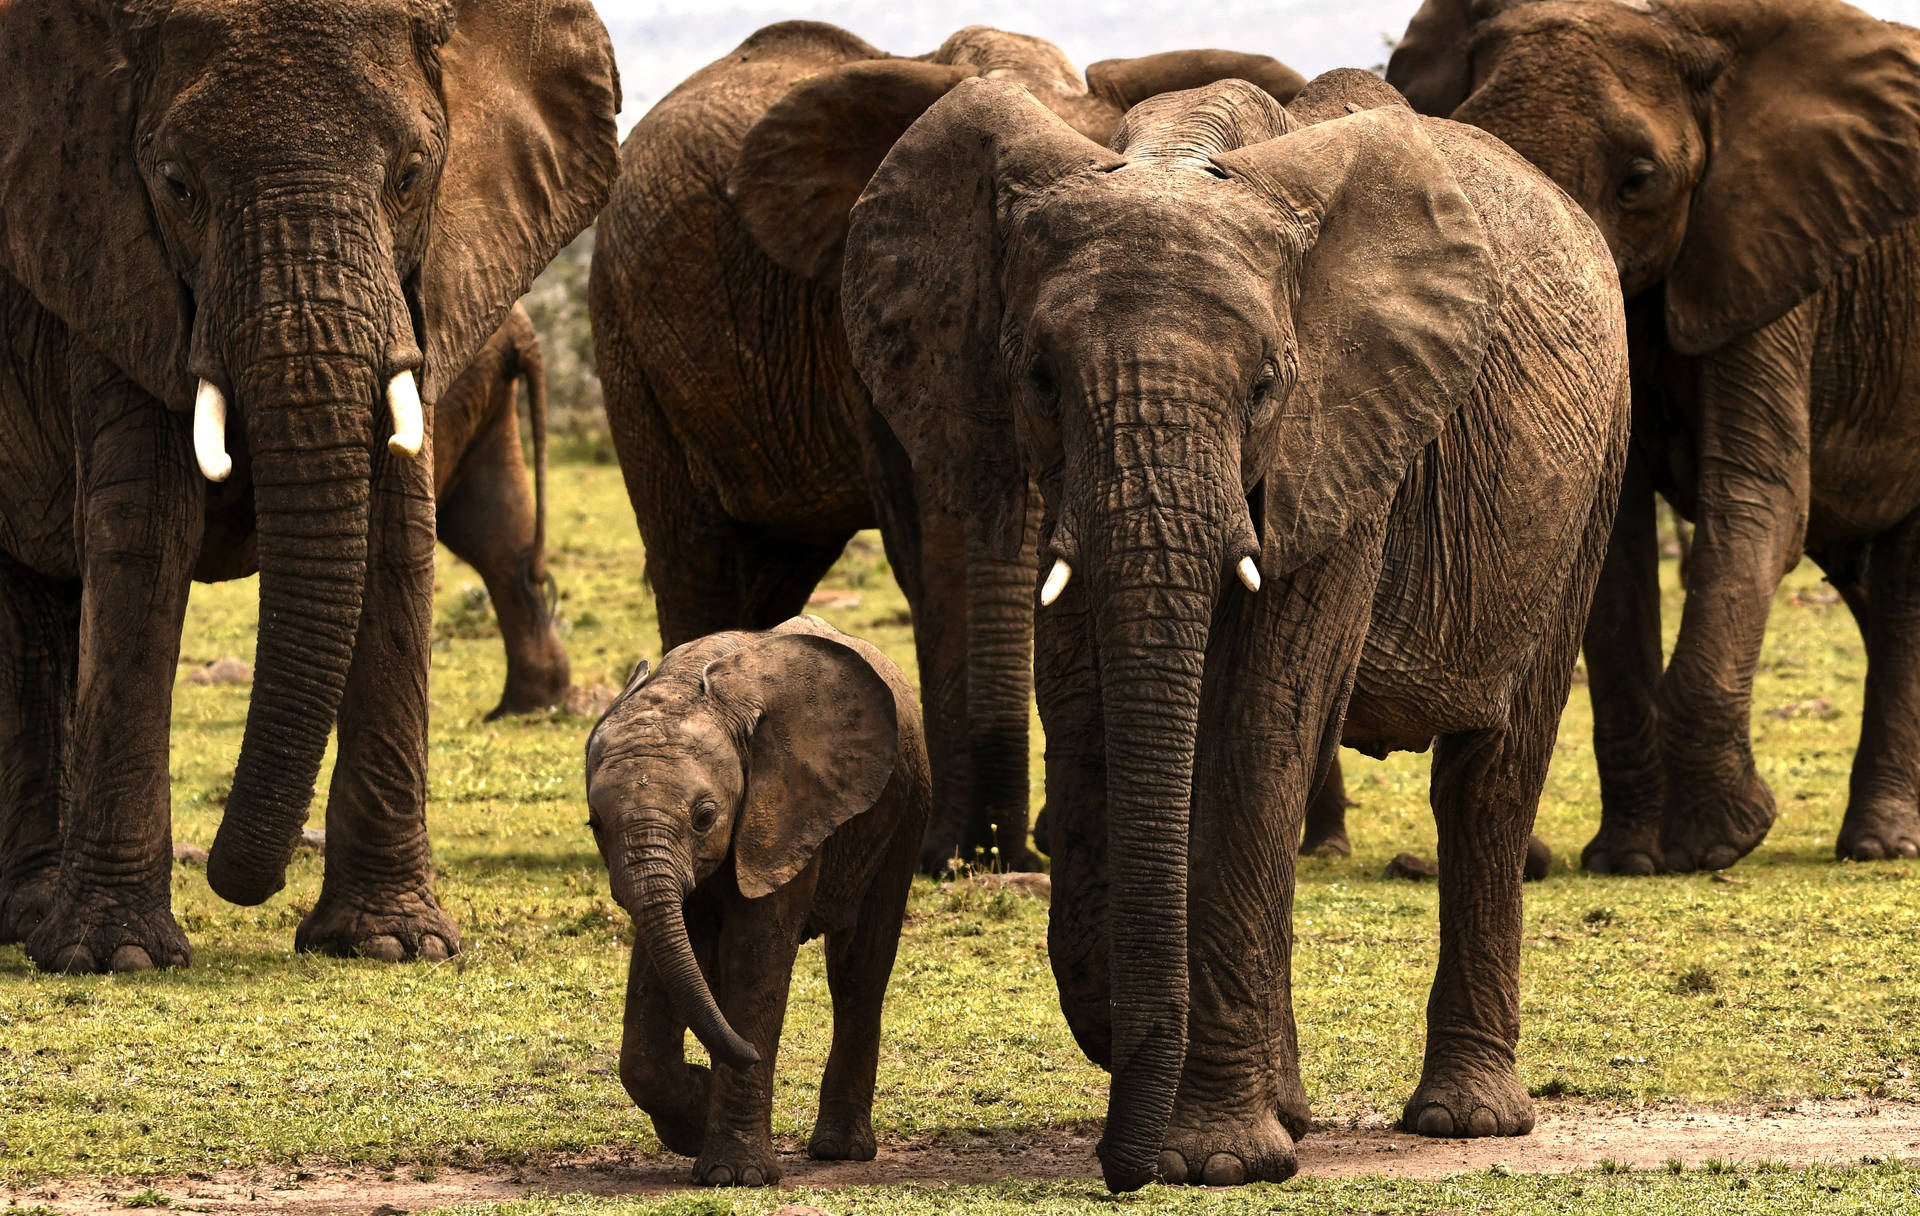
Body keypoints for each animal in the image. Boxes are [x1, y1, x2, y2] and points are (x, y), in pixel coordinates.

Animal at [586, 615, 928, 1187]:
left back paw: (839, 1151)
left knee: (859, 969)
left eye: (704, 817)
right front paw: (695, 1118)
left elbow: (756, 955)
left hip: (904, 809)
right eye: (595, 825)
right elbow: (664, 966)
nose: (736, 1060)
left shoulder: (789, 804)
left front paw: (733, 1175)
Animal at [588, 20, 1306, 876]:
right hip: (627, 339)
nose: (1002, 853)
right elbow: (932, 546)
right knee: (695, 554)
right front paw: (947, 851)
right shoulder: (871, 315)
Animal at [843, 71, 1628, 1189]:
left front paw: (1215, 1160)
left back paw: (1463, 1119)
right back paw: (1293, 1105)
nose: (1119, 1173)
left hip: (1592, 480)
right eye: (1038, 378)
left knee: (1490, 779)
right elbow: (1086, 709)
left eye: (1264, 387)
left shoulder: (1346, 439)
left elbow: (1266, 718)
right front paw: (1144, 1052)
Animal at [1387, 0, 1920, 872]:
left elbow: (1758, 500)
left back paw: (1881, 847)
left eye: (1640, 180)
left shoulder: (1764, 251)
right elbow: (1615, 538)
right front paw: (1626, 859)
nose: (1535, 862)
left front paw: (1718, 843)